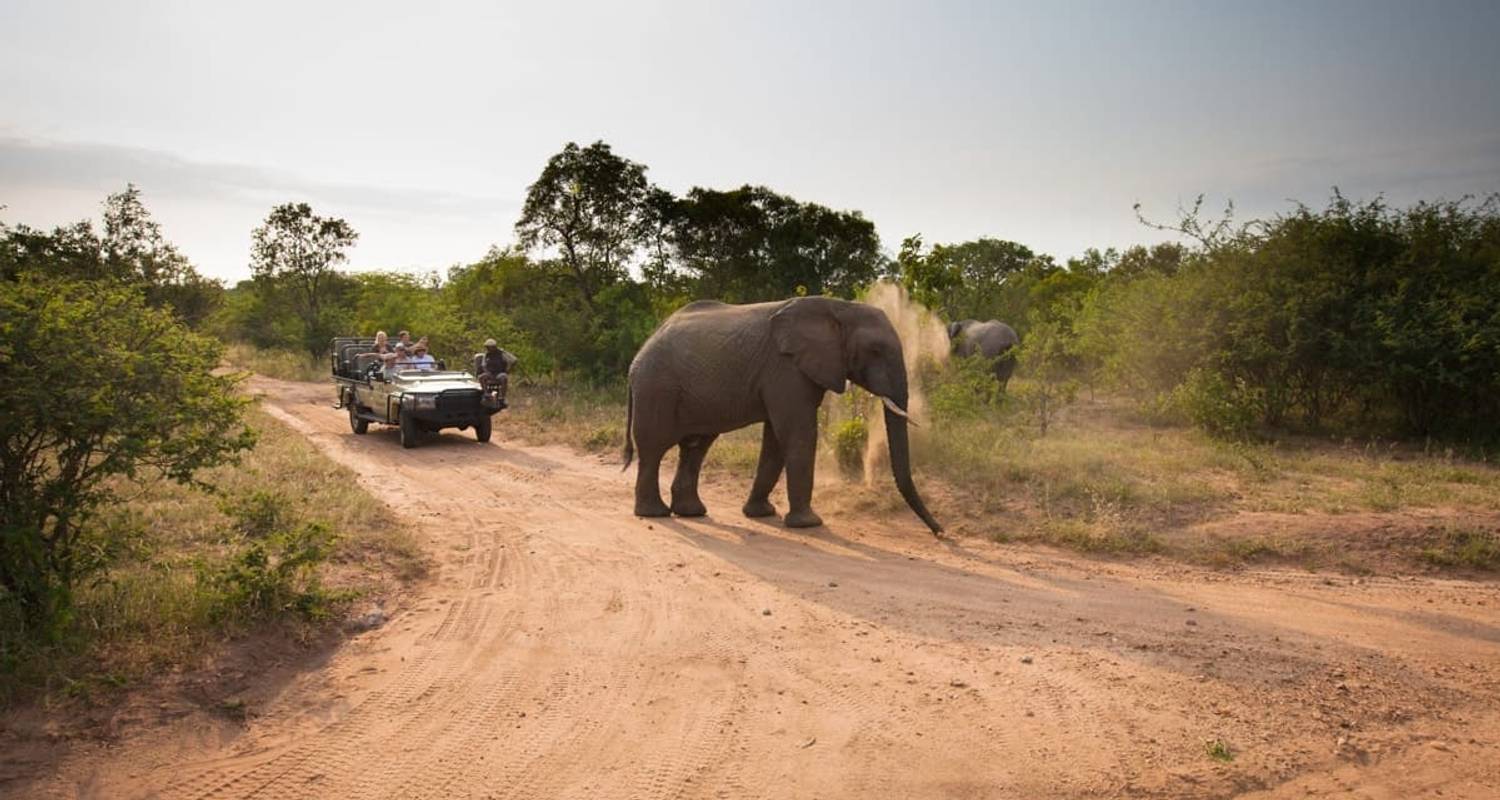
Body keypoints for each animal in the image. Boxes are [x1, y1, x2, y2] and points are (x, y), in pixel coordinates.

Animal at [621, 295, 936, 534]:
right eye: (875, 351)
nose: (939, 532)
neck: (839, 307)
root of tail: (637, 358)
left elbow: (775, 439)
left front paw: (761, 514)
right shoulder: (786, 369)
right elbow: (797, 433)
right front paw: (809, 524)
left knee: (695, 447)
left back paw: (691, 512)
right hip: (656, 388)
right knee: (654, 448)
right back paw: (655, 514)